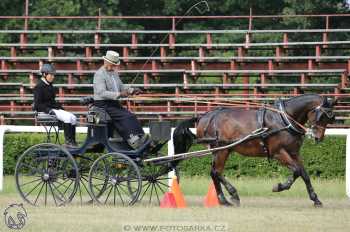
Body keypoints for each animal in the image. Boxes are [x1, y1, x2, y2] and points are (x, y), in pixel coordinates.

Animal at [172, 94, 336, 207]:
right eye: (322, 116)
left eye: (330, 118)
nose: (318, 137)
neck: (284, 119)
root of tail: (204, 116)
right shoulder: (278, 153)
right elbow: (296, 171)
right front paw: (279, 187)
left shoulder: (294, 153)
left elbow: (304, 174)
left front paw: (315, 199)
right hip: (221, 151)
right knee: (216, 172)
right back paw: (228, 198)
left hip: (224, 150)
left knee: (215, 173)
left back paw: (227, 197)